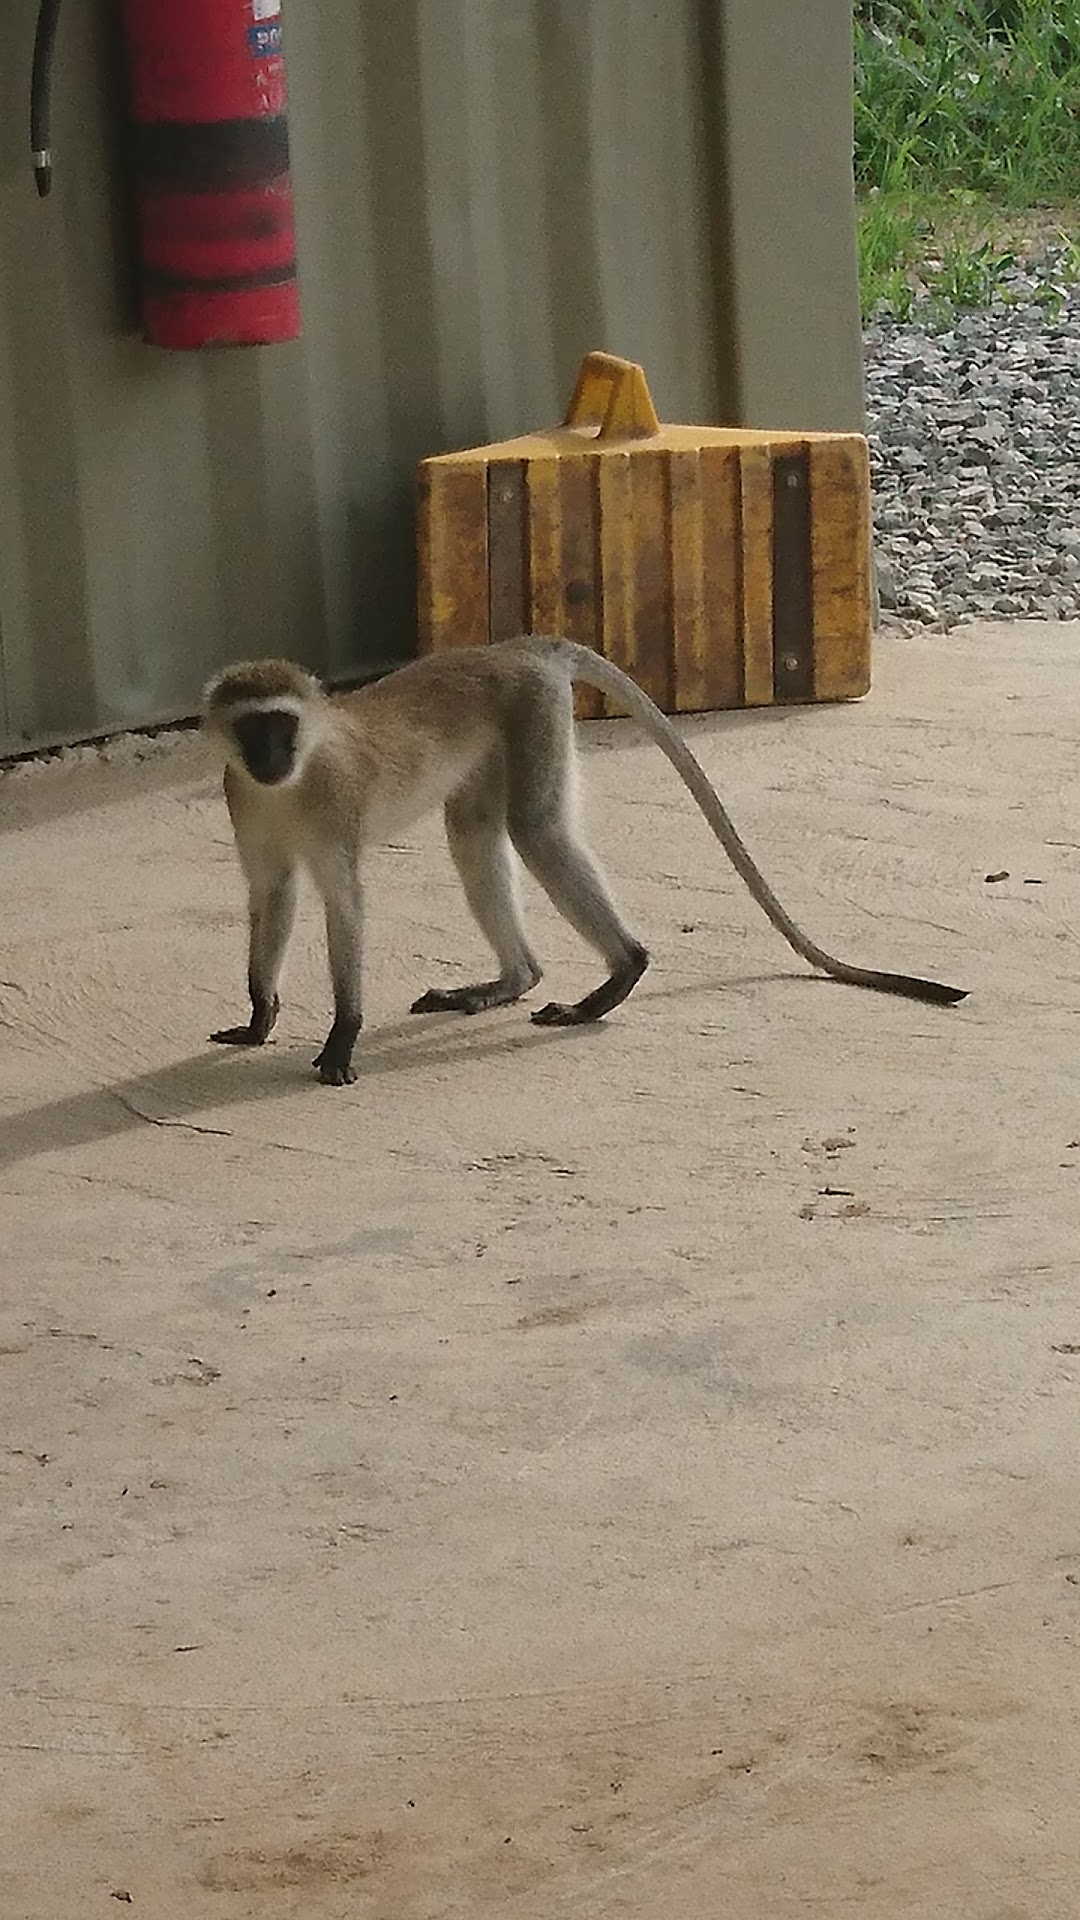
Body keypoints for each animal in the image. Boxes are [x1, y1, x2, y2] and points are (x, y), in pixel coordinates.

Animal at [201, 629, 968, 1082]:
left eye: (283, 726)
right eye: (252, 730)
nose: (269, 758)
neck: (293, 782)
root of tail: (517, 648)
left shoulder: (335, 808)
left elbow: (346, 906)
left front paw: (342, 1040)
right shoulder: (244, 802)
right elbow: (274, 893)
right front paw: (260, 1018)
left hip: (534, 713)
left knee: (535, 830)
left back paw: (619, 975)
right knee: (475, 833)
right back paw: (512, 980)